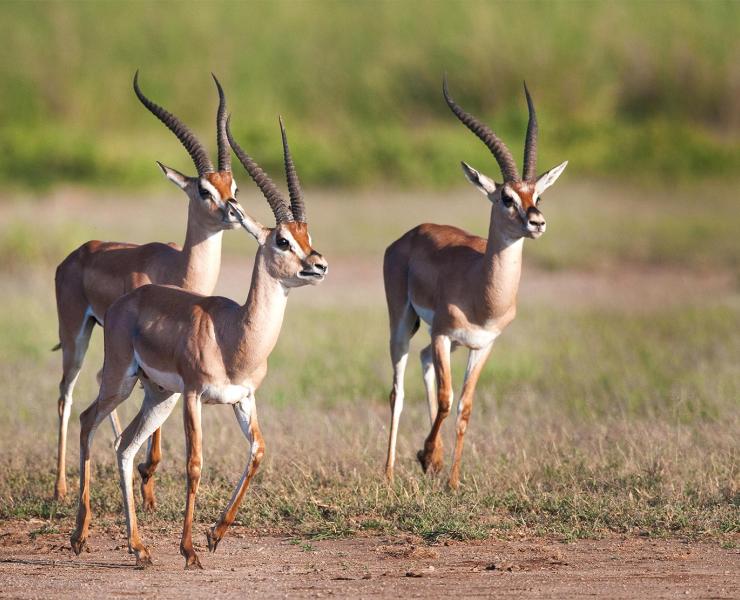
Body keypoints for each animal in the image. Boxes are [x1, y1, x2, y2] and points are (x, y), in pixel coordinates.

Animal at [53, 72, 247, 506]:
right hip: (76, 335)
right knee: (66, 394)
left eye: (234, 186)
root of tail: (77, 253)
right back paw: (60, 488)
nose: (234, 213)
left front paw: (148, 486)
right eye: (204, 190)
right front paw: (146, 474)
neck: (179, 268)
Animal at [70, 117, 328, 569]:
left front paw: (215, 535)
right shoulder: (194, 395)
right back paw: (80, 537)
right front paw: (190, 550)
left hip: (159, 397)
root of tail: (126, 301)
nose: (319, 265)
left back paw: (139, 549)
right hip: (122, 381)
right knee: (88, 421)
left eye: (306, 234)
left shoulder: (243, 398)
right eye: (282, 240)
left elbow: (258, 451)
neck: (234, 335)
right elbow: (194, 464)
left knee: (124, 446)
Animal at [383, 76, 567, 489]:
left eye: (538, 194)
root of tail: (413, 233)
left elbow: (464, 407)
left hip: (448, 342)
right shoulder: (441, 333)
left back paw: (432, 462)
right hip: (403, 323)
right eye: (506, 197)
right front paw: (427, 457)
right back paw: (387, 473)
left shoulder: (483, 346)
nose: (537, 222)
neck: (482, 291)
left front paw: (449, 479)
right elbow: (446, 400)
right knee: (397, 390)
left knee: (423, 362)